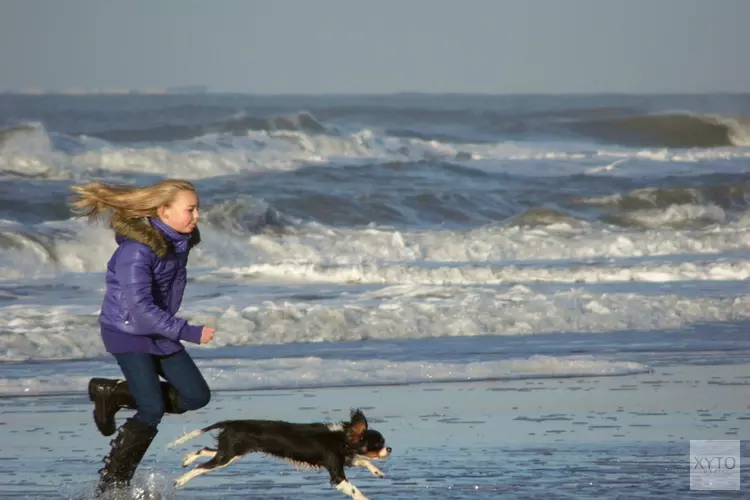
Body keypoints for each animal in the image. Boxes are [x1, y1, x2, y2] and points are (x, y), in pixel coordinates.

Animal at [169, 408, 394, 498]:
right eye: (378, 443)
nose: (390, 449)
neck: (342, 437)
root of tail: (231, 423)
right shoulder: (336, 472)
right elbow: (355, 489)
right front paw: (365, 498)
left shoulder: (343, 458)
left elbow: (362, 461)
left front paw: (378, 472)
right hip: (228, 456)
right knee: (202, 467)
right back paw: (180, 480)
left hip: (233, 453)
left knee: (206, 451)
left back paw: (187, 459)